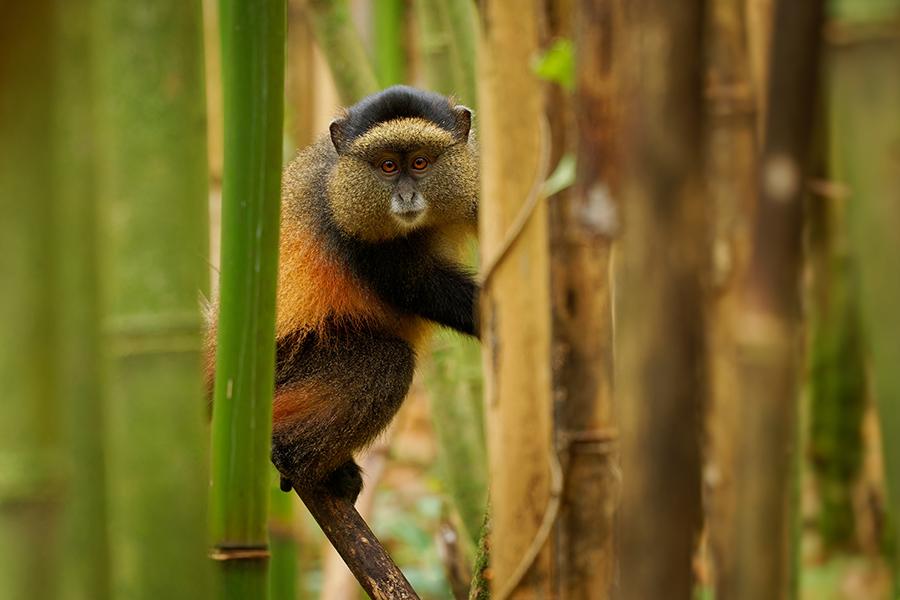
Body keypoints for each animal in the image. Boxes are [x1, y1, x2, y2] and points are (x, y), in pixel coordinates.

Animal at [207, 86, 480, 503]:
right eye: (387, 166)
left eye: (420, 163)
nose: (406, 196)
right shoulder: (349, 227)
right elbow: (417, 285)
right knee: (389, 362)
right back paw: (290, 452)